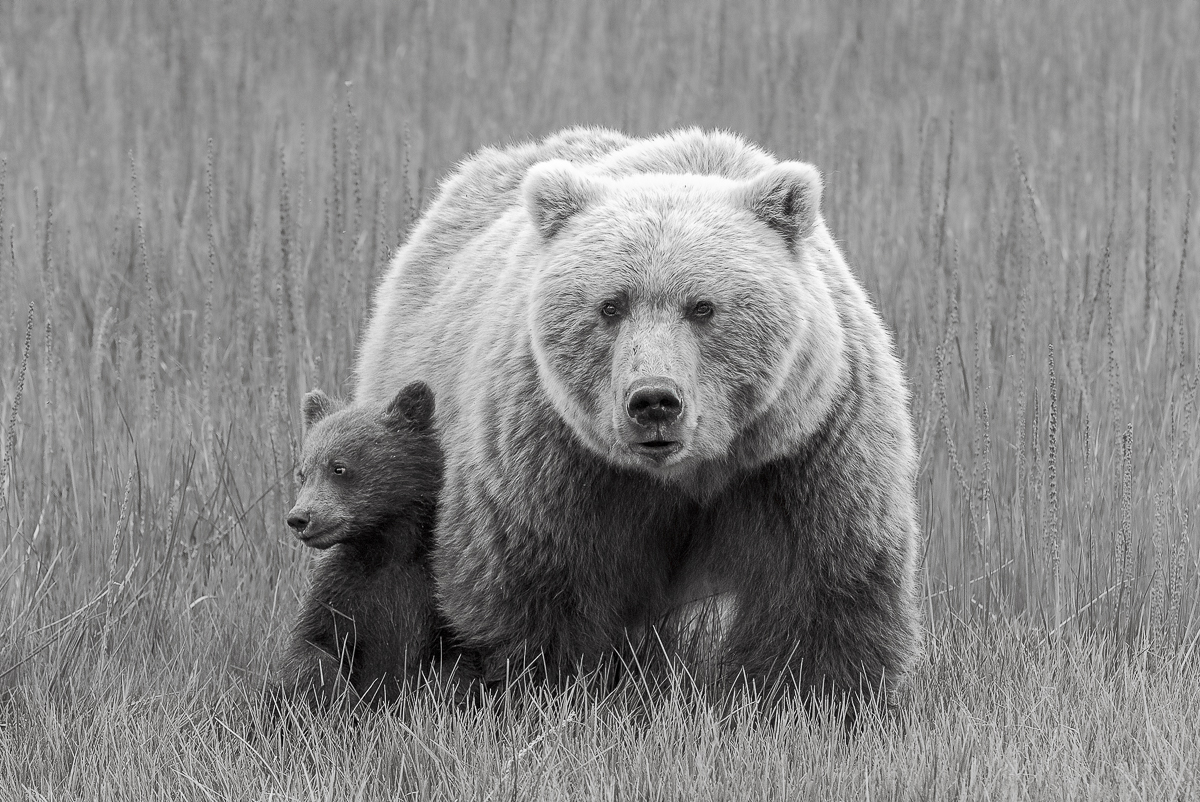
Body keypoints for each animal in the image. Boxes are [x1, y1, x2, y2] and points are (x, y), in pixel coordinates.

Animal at [280, 381, 457, 705]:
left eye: (339, 467)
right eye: (303, 473)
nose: (299, 518)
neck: (384, 547)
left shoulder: (435, 591)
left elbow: (456, 668)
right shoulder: (340, 592)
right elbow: (311, 649)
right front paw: (345, 701)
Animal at [354, 127, 922, 705]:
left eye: (703, 307)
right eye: (611, 305)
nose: (653, 401)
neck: (694, 471)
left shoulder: (804, 450)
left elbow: (821, 590)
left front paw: (807, 696)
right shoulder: (552, 457)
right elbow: (535, 586)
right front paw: (545, 687)